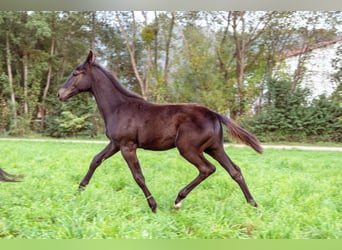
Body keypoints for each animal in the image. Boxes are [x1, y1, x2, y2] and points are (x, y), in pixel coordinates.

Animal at [57, 50, 264, 213]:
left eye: (76, 73)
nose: (60, 94)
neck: (118, 107)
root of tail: (214, 114)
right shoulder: (115, 143)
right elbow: (95, 161)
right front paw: (78, 192)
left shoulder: (127, 146)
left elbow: (138, 176)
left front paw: (153, 206)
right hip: (214, 147)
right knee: (234, 170)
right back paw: (253, 204)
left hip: (188, 148)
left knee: (207, 169)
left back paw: (178, 200)